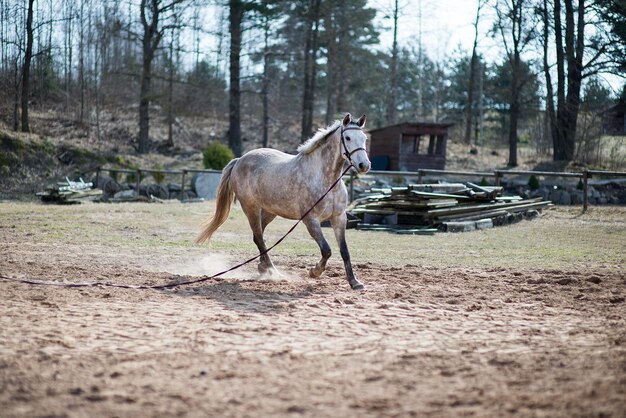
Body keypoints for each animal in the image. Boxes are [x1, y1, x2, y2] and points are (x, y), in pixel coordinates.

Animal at [195, 114, 370, 290]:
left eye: (364, 138)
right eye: (347, 138)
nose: (364, 165)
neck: (326, 181)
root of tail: (239, 161)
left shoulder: (339, 218)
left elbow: (344, 251)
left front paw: (355, 282)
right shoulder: (311, 220)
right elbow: (326, 250)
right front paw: (315, 272)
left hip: (269, 211)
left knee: (258, 237)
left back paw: (263, 267)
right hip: (251, 208)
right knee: (259, 237)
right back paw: (274, 272)